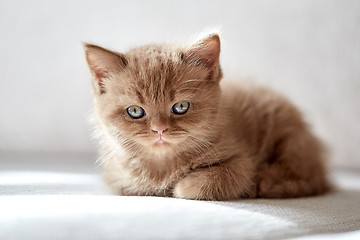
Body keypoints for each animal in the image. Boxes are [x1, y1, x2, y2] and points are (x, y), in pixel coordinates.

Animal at [83, 32, 330, 200]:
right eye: (135, 111)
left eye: (181, 107)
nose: (159, 129)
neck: (164, 166)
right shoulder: (118, 177)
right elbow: (133, 186)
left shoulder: (241, 161)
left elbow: (213, 180)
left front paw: (181, 186)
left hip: (291, 141)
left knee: (308, 178)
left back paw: (265, 181)